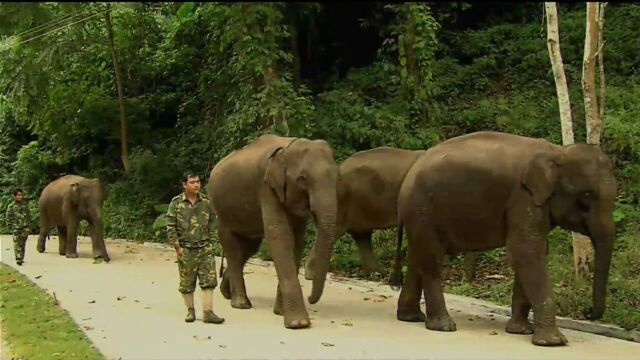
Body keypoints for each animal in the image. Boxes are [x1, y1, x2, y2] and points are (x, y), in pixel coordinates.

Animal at [209, 134, 340, 330]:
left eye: (337, 177)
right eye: (302, 179)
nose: (310, 298)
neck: (287, 149)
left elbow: (296, 242)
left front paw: (280, 312)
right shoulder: (266, 188)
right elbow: (280, 237)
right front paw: (298, 323)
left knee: (247, 249)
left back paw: (227, 292)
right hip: (222, 212)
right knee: (233, 248)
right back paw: (241, 304)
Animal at [392, 131, 616, 346]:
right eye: (586, 195)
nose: (588, 312)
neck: (557, 152)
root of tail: (409, 173)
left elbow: (532, 254)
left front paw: (521, 331)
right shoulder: (523, 197)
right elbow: (525, 253)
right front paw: (552, 342)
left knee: (418, 256)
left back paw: (411, 317)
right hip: (422, 209)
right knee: (432, 259)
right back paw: (443, 326)